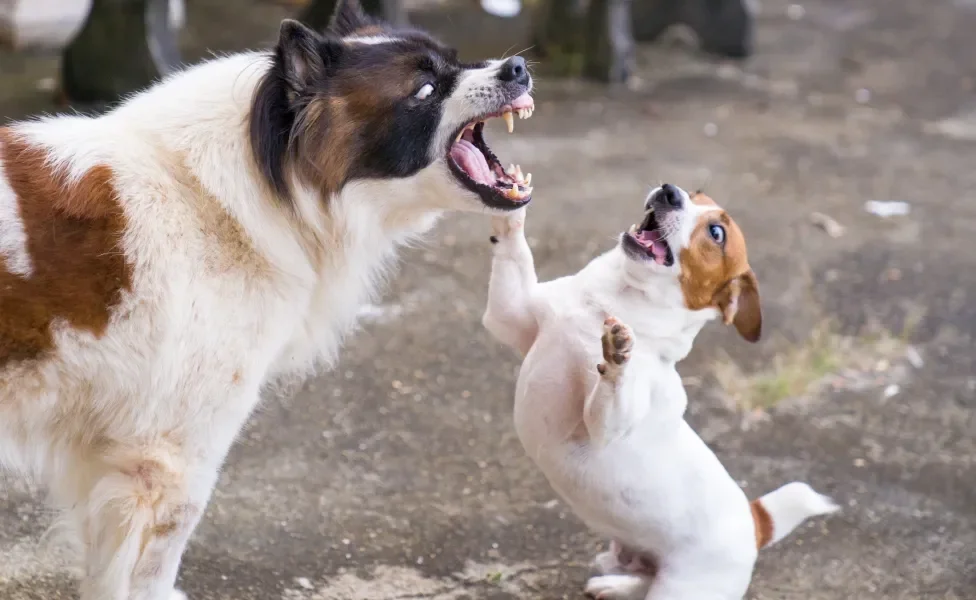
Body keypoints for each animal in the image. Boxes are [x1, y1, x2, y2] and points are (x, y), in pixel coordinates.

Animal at [484, 184, 836, 600]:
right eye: (695, 193)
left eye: (716, 233)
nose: (669, 192)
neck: (606, 304)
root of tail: (753, 524)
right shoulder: (510, 317)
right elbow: (514, 253)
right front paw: (509, 207)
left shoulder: (604, 427)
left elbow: (612, 386)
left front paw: (619, 354)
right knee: (640, 580)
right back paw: (614, 585)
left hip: (682, 588)